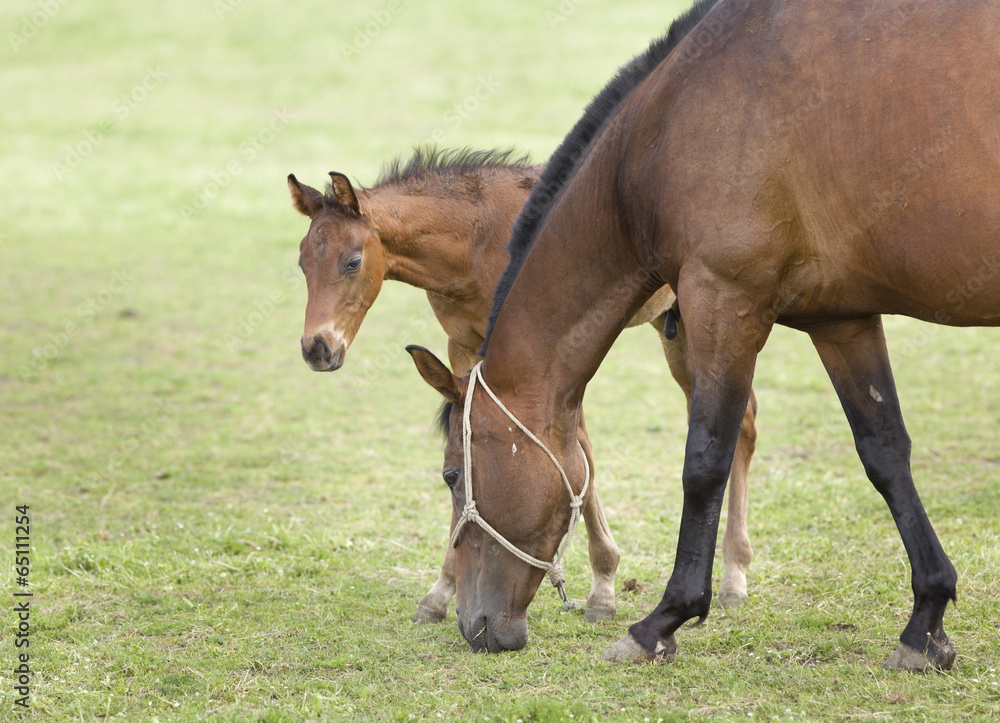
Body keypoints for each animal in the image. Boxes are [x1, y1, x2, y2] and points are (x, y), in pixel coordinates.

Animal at [418, 0, 999, 670]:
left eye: (452, 476)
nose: (474, 623)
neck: (662, 130)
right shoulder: (842, 320)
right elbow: (885, 453)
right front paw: (926, 620)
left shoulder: (724, 300)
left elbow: (704, 461)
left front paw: (663, 619)